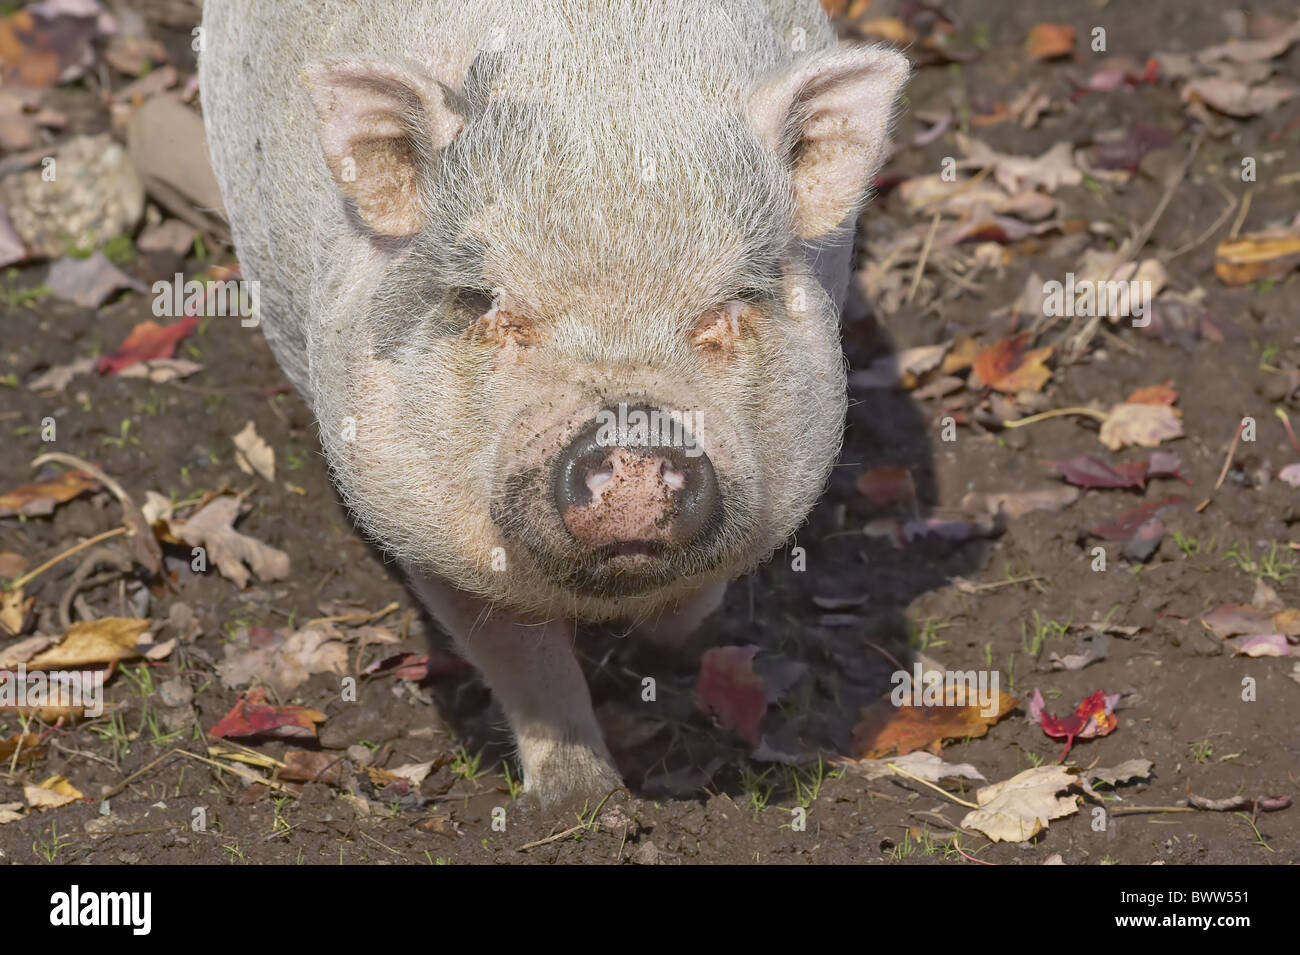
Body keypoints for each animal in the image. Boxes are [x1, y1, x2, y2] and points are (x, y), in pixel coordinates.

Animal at [199, 0, 908, 805]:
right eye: (487, 303)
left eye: (729, 307)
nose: (634, 443)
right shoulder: (421, 522)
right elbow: (526, 664)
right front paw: (584, 803)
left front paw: (673, 652)